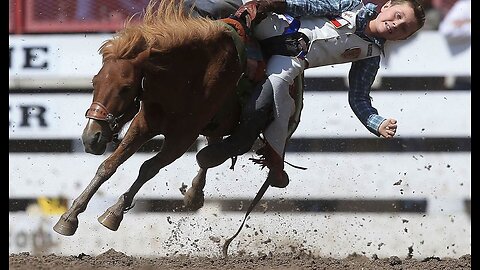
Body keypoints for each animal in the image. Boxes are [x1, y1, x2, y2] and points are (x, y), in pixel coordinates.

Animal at [50, 0, 302, 236]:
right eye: (94, 82)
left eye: (125, 88)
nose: (91, 137)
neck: (188, 74)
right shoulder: (143, 124)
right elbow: (108, 165)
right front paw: (69, 217)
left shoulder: (182, 138)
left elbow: (148, 168)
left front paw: (114, 213)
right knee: (211, 148)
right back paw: (194, 194)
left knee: (215, 152)